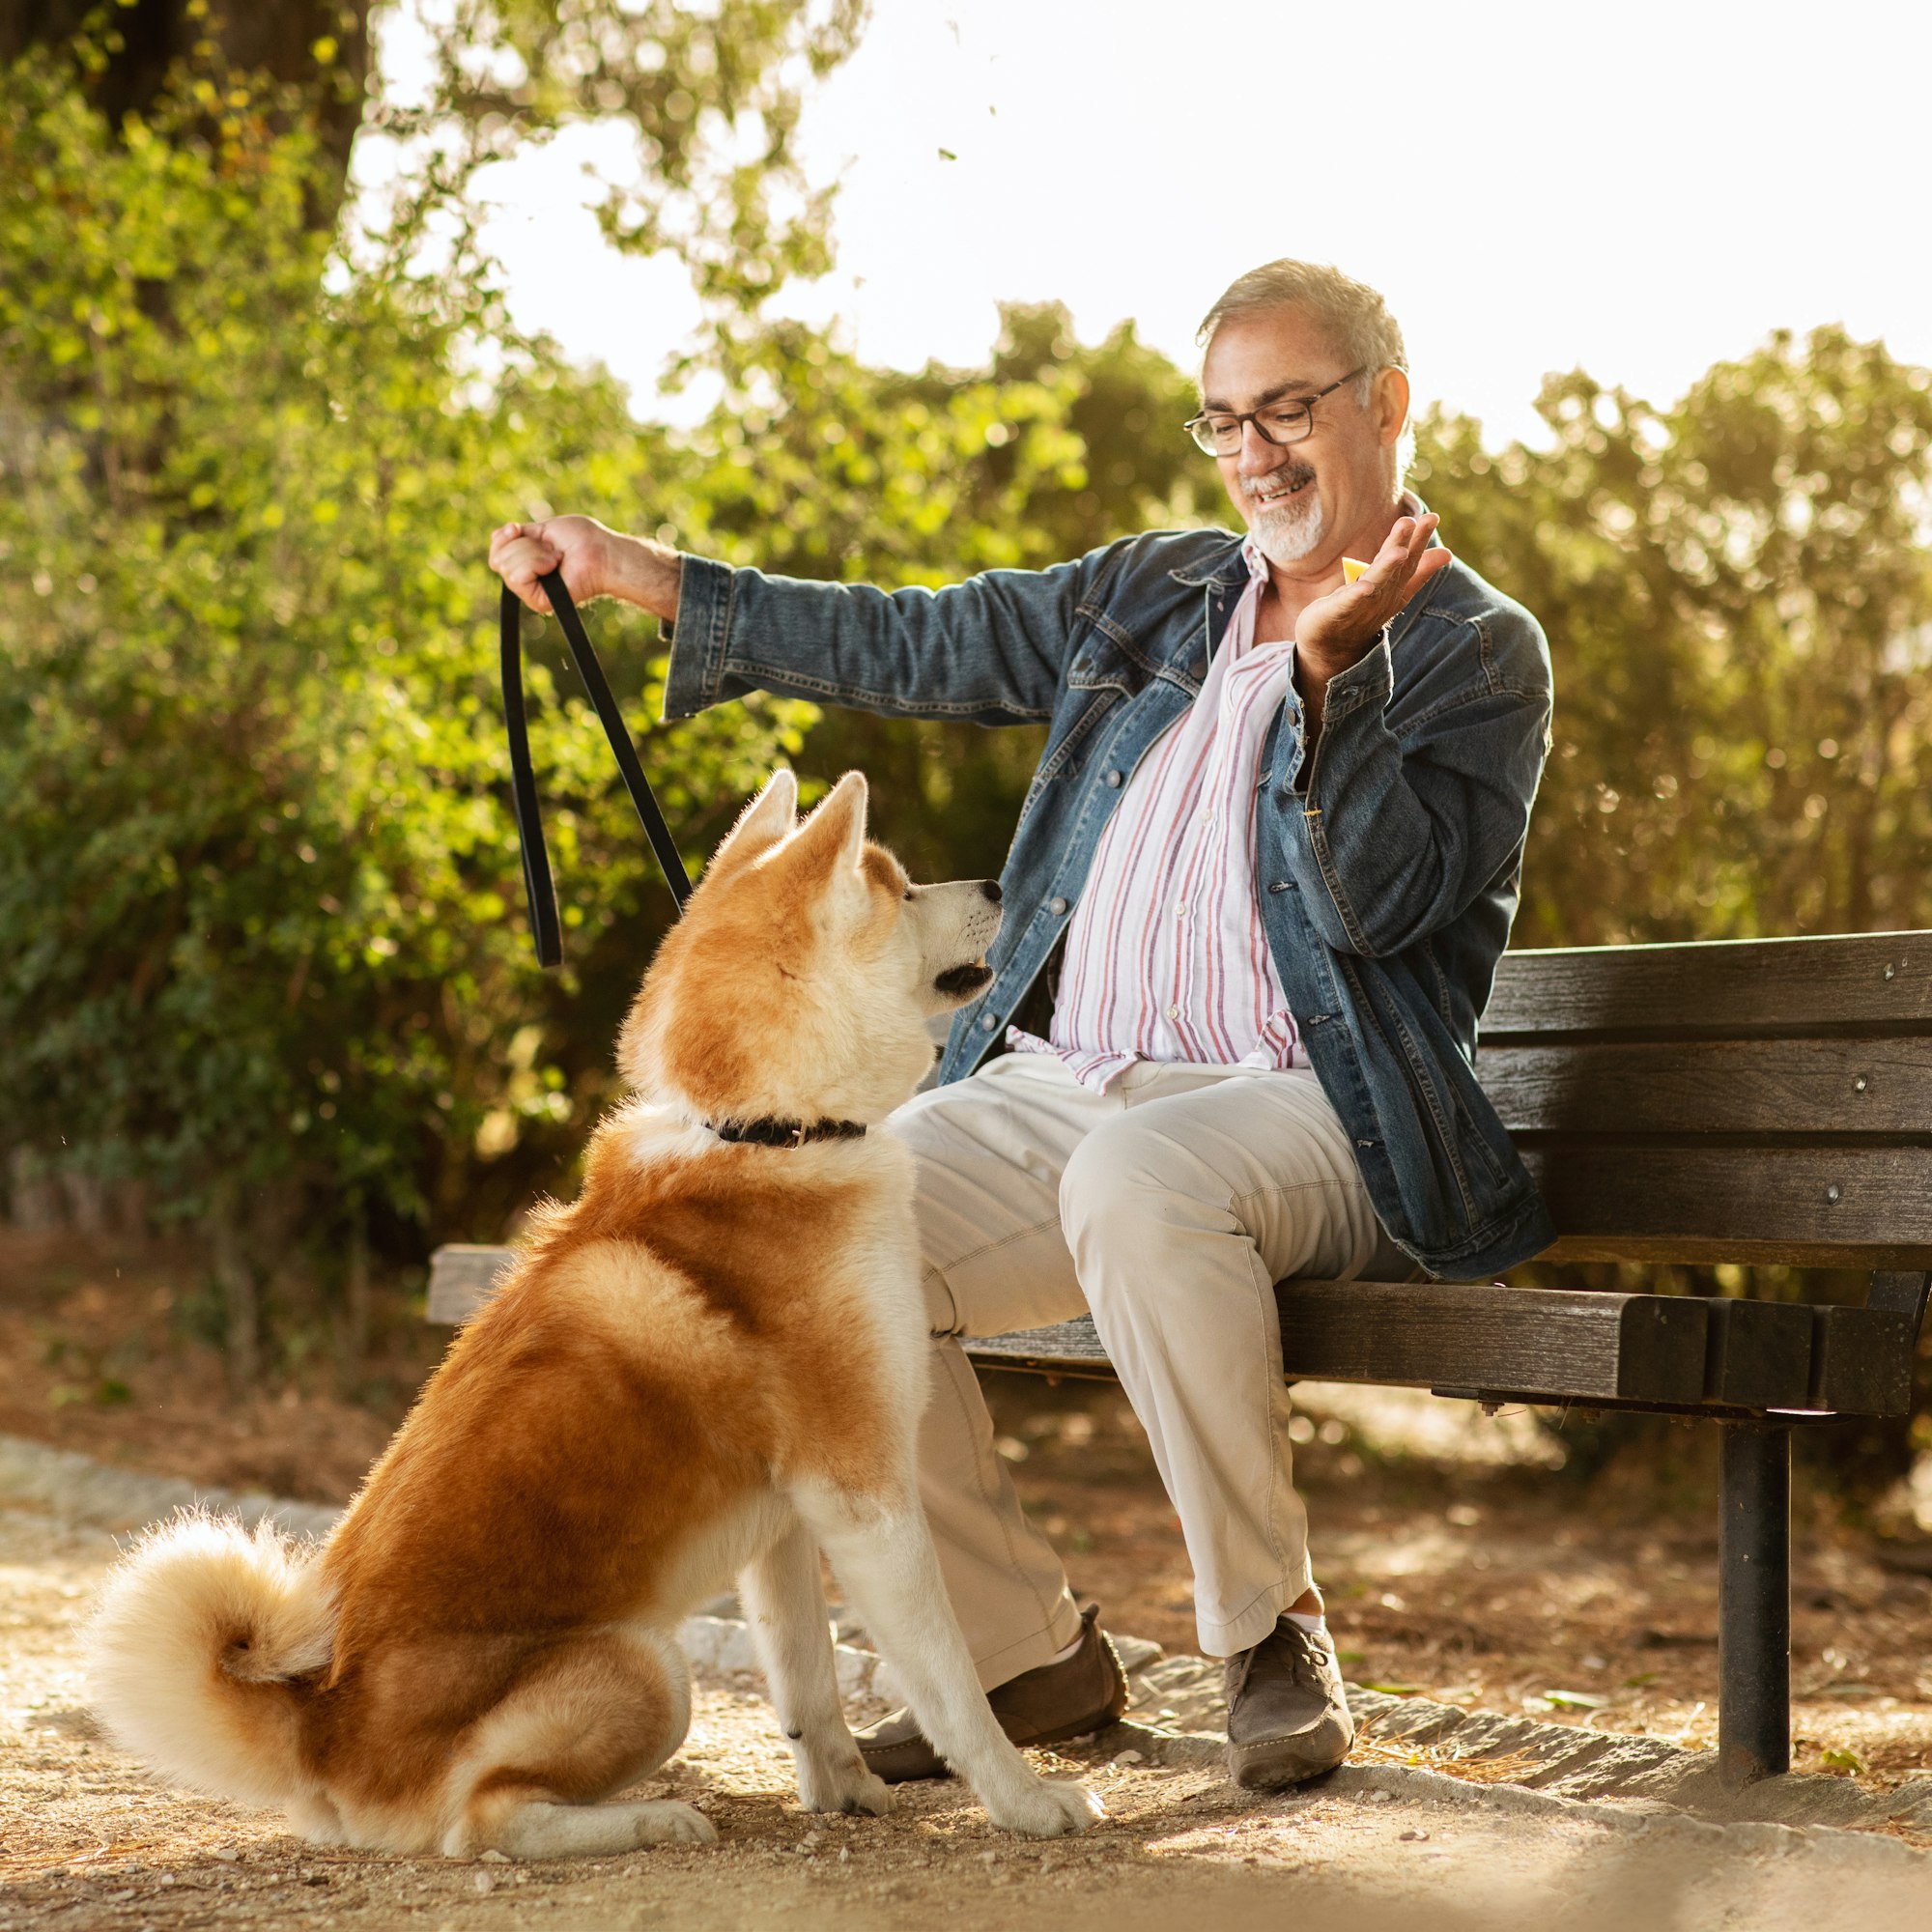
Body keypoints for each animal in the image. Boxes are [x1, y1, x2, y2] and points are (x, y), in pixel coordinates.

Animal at [91, 773, 1105, 1855]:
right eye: (902, 889)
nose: (997, 881)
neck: (763, 1135)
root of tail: (319, 1730)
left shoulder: (786, 1515)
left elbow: (808, 1682)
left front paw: (845, 1788)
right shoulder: (861, 1489)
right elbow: (952, 1679)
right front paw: (1025, 1800)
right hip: (649, 1668)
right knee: (487, 1822)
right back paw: (652, 1818)